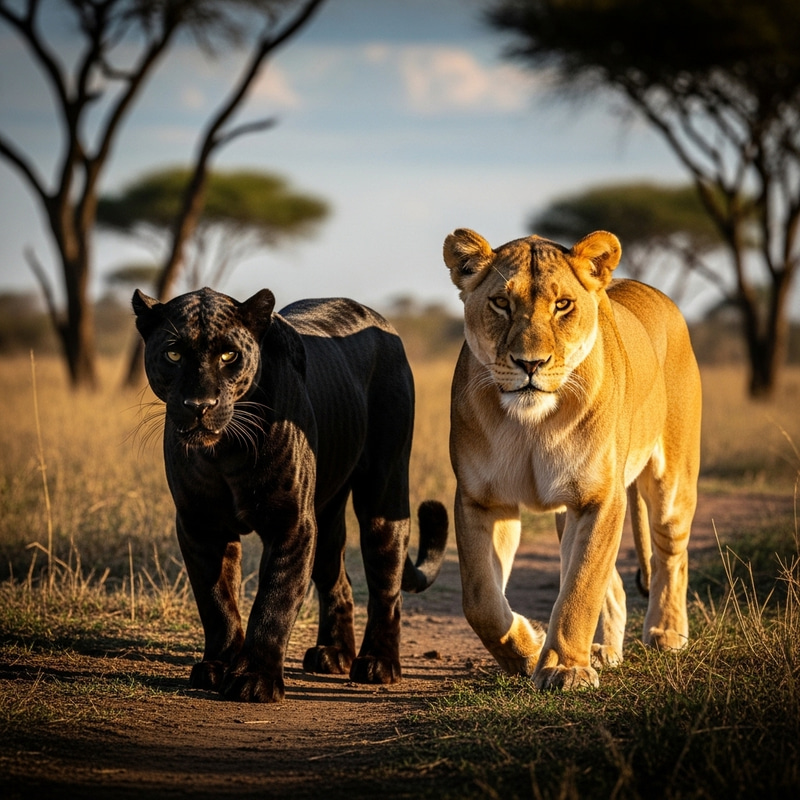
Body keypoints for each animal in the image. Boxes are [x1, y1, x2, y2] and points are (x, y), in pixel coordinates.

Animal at [443, 228, 701, 690]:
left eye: (562, 305)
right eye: (501, 303)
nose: (530, 364)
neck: (530, 424)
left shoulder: (600, 499)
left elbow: (581, 586)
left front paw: (564, 668)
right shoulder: (482, 499)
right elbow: (480, 600)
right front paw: (527, 651)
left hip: (672, 483)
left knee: (671, 553)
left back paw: (666, 632)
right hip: (567, 512)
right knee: (615, 584)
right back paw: (604, 652)